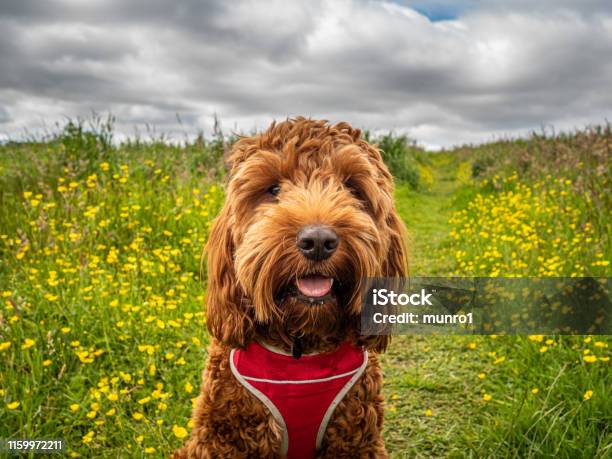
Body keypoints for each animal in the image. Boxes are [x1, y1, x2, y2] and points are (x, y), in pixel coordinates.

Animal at [172, 117, 408, 458]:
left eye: (352, 187)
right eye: (273, 189)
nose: (318, 241)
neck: (300, 346)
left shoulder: (358, 440)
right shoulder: (221, 439)